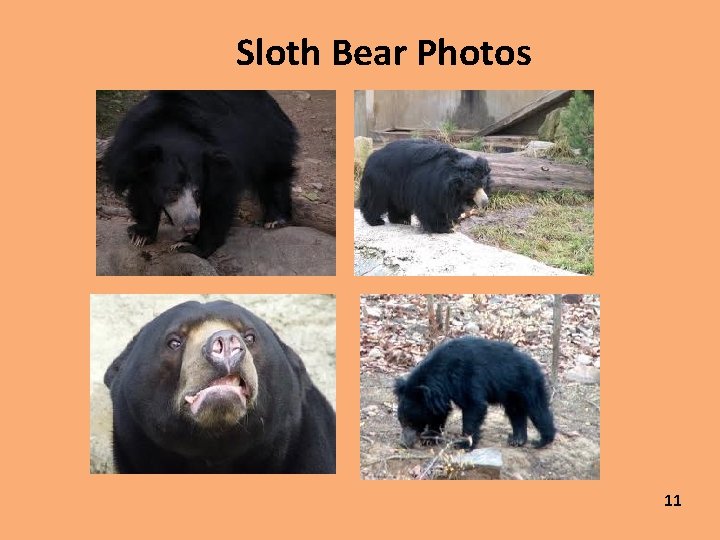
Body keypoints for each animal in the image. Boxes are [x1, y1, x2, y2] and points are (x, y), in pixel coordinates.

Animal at [103, 91, 298, 257]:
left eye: (197, 192)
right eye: (172, 191)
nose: (190, 226)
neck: (172, 128)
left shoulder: (223, 163)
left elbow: (218, 200)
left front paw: (189, 245)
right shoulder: (130, 157)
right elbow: (142, 194)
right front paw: (140, 235)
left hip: (266, 137)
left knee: (272, 174)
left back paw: (275, 219)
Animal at [359, 139, 492, 233]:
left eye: (483, 185)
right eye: (473, 189)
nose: (485, 202)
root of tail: (371, 157)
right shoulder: (430, 187)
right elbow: (432, 207)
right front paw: (445, 228)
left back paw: (402, 220)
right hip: (380, 181)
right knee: (375, 200)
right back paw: (375, 220)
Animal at [394, 336, 555, 450]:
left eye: (411, 422)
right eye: (401, 421)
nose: (403, 443)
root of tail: (537, 366)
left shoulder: (467, 378)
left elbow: (474, 406)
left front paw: (463, 444)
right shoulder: (439, 394)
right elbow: (439, 411)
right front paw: (430, 438)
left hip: (528, 384)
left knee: (538, 410)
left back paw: (542, 441)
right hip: (512, 393)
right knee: (516, 413)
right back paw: (517, 439)